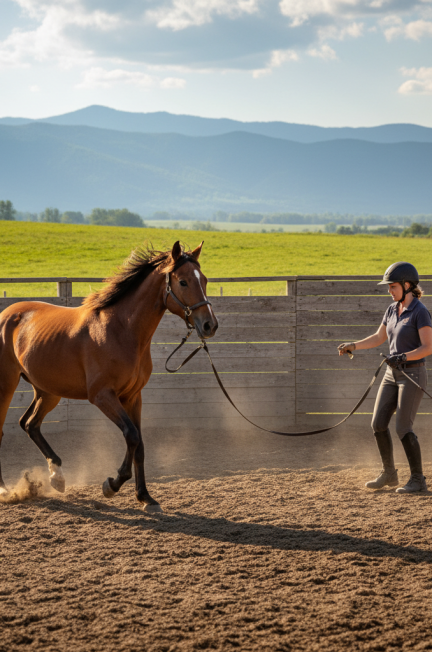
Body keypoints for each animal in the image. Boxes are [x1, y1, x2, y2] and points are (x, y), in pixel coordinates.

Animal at [0, 241, 218, 511]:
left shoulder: (133, 397)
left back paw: (57, 477)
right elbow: (131, 436)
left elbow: (140, 445)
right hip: (7, 385)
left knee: (30, 424)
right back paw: (5, 490)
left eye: (205, 280)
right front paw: (112, 485)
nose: (210, 325)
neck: (120, 330)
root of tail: (8, 314)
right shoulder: (103, 396)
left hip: (48, 391)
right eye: (183, 282)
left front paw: (145, 497)